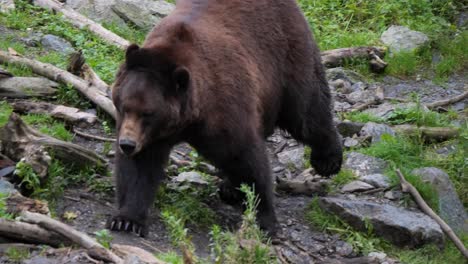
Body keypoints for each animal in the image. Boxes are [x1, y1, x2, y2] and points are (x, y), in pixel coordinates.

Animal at [109, 0, 344, 236]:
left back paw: (328, 160)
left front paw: (266, 220)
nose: (127, 144)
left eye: (148, 113)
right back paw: (231, 188)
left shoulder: (224, 107)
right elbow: (140, 168)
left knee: (307, 111)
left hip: (287, 58)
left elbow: (246, 158)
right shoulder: (150, 134)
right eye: (125, 106)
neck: (189, 119)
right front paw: (126, 219)